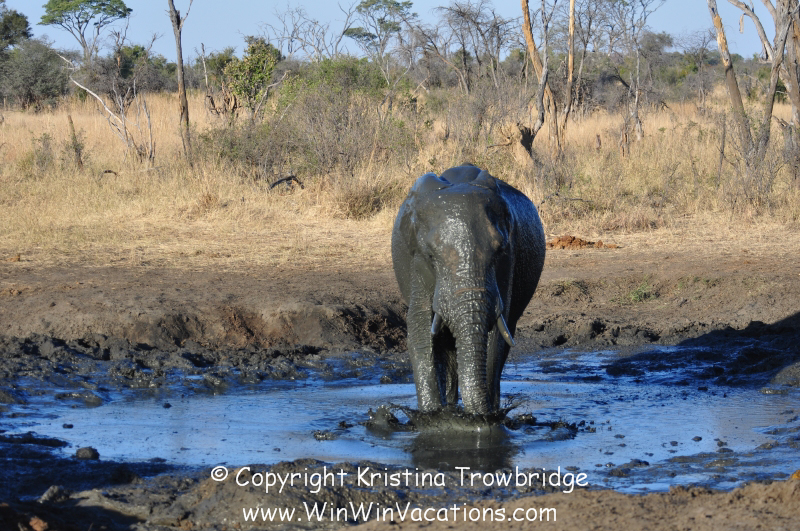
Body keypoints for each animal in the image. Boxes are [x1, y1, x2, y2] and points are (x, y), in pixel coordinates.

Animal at [391, 164, 546, 416]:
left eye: (500, 251)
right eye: (431, 255)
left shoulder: (507, 264)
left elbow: (494, 338)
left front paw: (485, 417)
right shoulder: (417, 261)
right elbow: (420, 329)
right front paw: (431, 415)